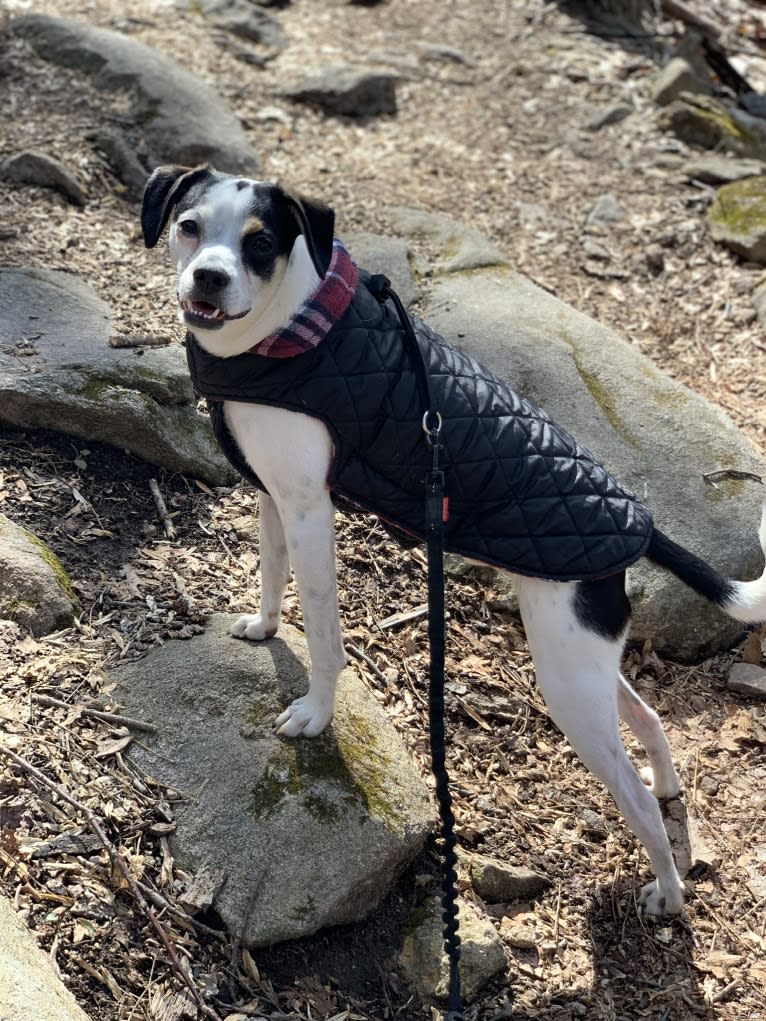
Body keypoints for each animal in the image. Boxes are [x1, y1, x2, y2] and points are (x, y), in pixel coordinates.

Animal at [140, 165, 766, 918]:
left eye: (260, 244)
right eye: (190, 226)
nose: (208, 277)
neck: (293, 333)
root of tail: (637, 523)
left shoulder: (311, 512)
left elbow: (323, 635)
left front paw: (316, 714)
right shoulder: (272, 497)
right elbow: (270, 575)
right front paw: (262, 628)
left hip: (566, 682)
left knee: (636, 799)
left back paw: (668, 892)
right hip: (581, 657)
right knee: (646, 719)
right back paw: (669, 787)